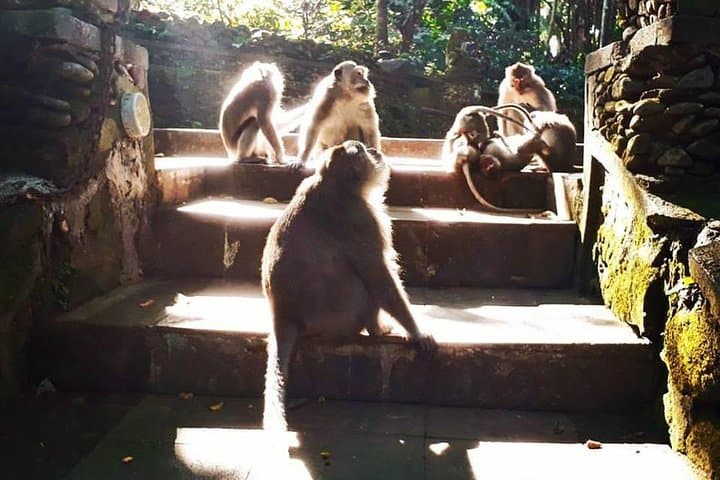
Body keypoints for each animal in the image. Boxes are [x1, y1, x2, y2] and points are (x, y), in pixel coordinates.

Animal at [261, 140, 437, 434]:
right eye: (364, 151)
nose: (376, 152)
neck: (333, 184)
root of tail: (282, 314)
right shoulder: (361, 218)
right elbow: (378, 275)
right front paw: (417, 333)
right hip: (339, 318)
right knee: (365, 285)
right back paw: (376, 329)